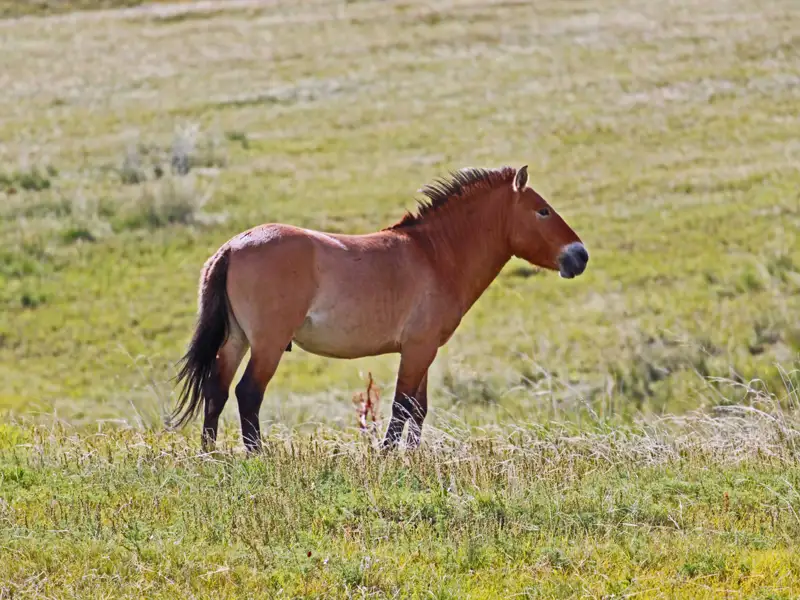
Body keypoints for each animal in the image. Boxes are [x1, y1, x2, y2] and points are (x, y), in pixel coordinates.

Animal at [170, 165, 589, 453]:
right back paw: (258, 455)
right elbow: (402, 406)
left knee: (217, 390)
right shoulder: (418, 349)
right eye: (543, 211)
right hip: (268, 345)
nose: (580, 256)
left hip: (236, 340)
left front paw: (412, 456)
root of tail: (233, 246)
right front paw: (386, 455)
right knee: (248, 393)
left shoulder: (423, 351)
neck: (434, 255)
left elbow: (418, 408)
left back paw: (211, 454)